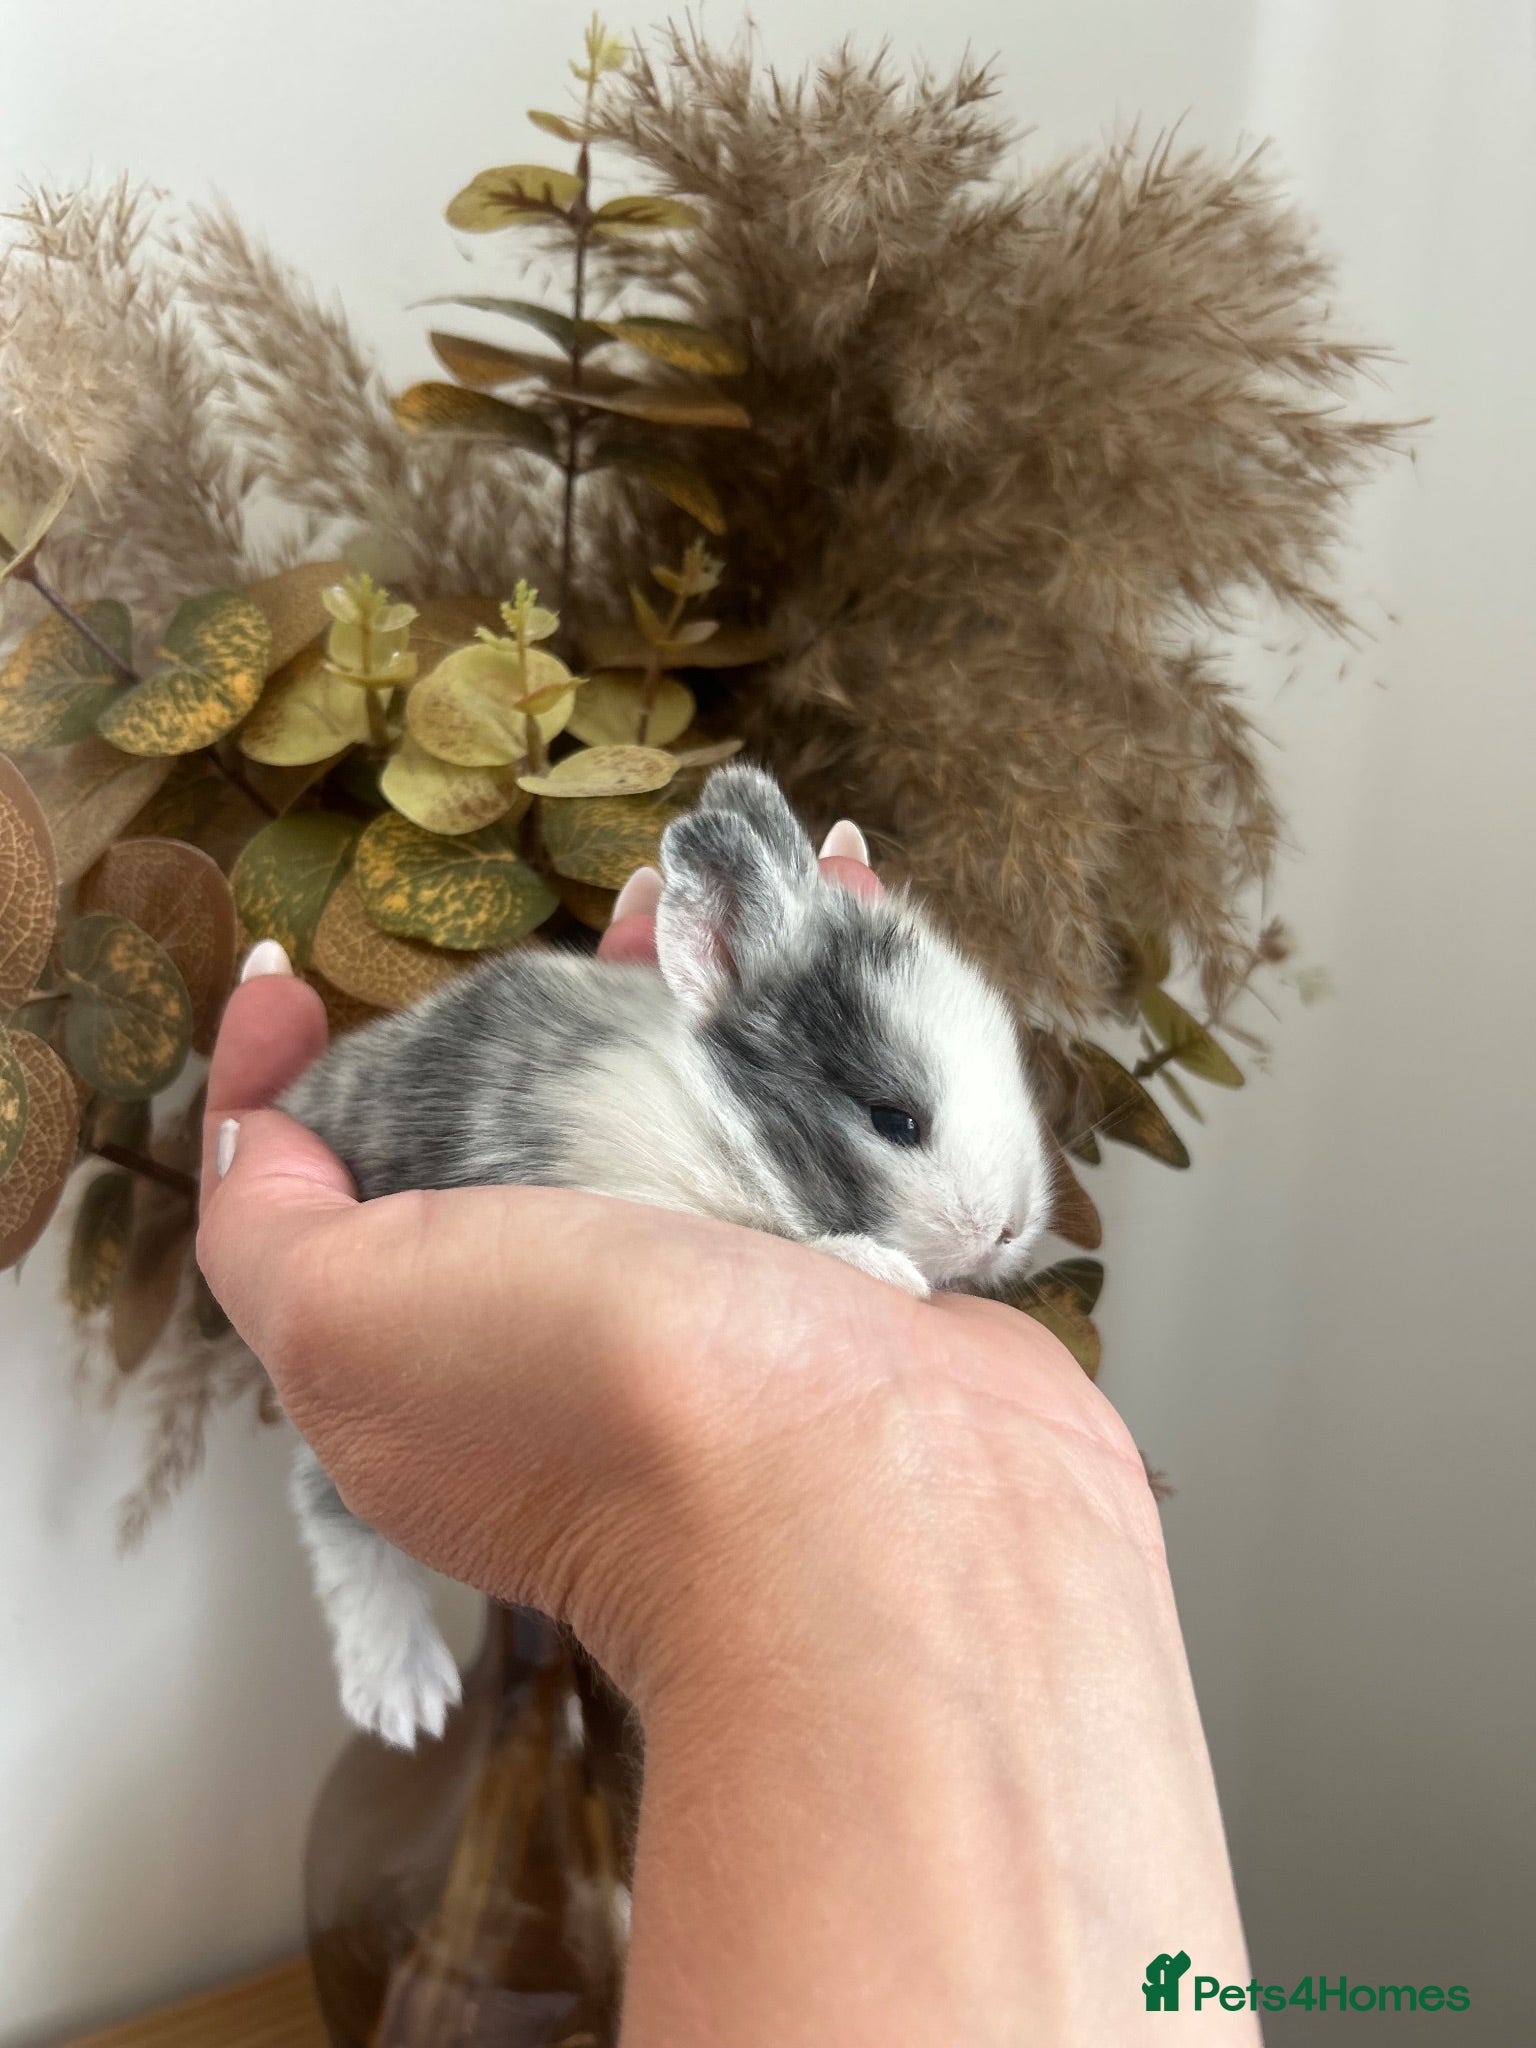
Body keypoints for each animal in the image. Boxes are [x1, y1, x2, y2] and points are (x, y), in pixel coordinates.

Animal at [278, 765, 1056, 1747]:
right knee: (328, 1511)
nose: (1010, 1229)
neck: (721, 1119)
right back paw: (405, 1698)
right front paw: (879, 1269)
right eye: (895, 1120)